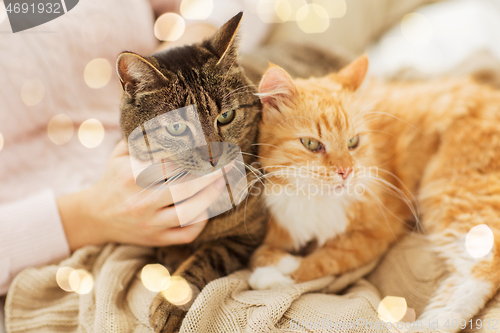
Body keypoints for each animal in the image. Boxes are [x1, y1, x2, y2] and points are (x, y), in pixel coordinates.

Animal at [116, 12, 270, 330]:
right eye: (177, 127)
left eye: (226, 116)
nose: (214, 156)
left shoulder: (244, 237)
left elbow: (204, 259)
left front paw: (171, 302)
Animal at [249, 55, 500, 330]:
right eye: (312, 144)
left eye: (353, 142)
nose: (346, 172)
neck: (316, 198)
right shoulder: (280, 228)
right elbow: (259, 254)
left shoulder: (372, 237)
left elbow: (319, 263)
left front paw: (274, 276)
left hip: (449, 189)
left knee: (482, 268)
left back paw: (424, 326)